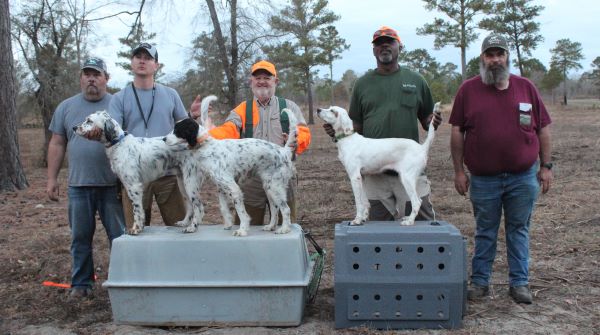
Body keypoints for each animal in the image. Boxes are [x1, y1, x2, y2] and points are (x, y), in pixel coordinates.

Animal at [164, 96, 298, 238]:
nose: (163, 139)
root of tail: (283, 151)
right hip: (269, 187)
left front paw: (242, 230)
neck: (207, 145)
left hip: (274, 187)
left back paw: (284, 229)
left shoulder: (233, 188)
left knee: (285, 209)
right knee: (275, 208)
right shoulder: (221, 187)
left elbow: (241, 213)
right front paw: (228, 224)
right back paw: (271, 226)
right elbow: (223, 208)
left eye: (177, 130)